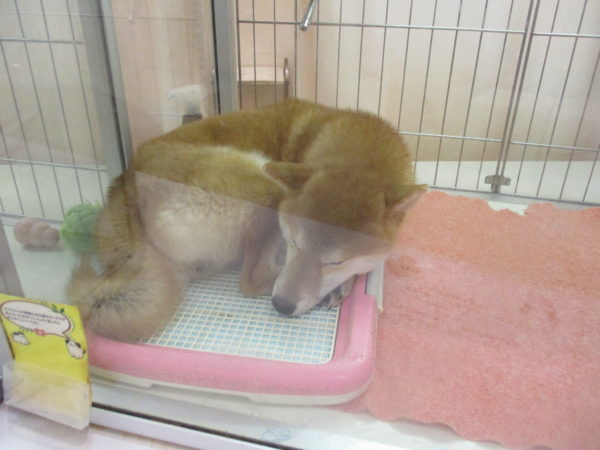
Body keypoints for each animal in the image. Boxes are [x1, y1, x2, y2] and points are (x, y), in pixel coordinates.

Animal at [67, 99, 425, 341]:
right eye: (294, 241)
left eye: (335, 261)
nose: (281, 306)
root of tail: (125, 185)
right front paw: (342, 283)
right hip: (264, 185)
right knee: (251, 279)